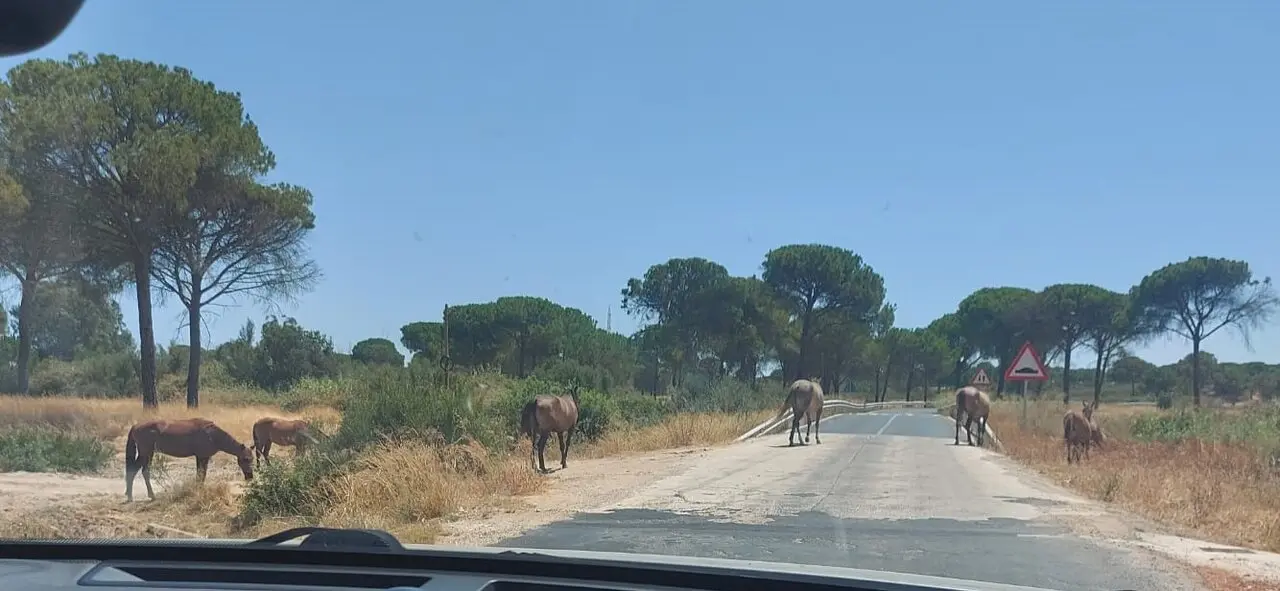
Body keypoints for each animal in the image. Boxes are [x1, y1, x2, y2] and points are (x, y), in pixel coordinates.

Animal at [124, 418, 254, 502]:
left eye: (252, 459)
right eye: (245, 459)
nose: (250, 476)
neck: (212, 434)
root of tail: (136, 426)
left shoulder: (202, 457)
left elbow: (200, 475)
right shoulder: (202, 457)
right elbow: (201, 475)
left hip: (148, 454)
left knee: (140, 471)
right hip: (145, 454)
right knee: (137, 471)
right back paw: (139, 496)